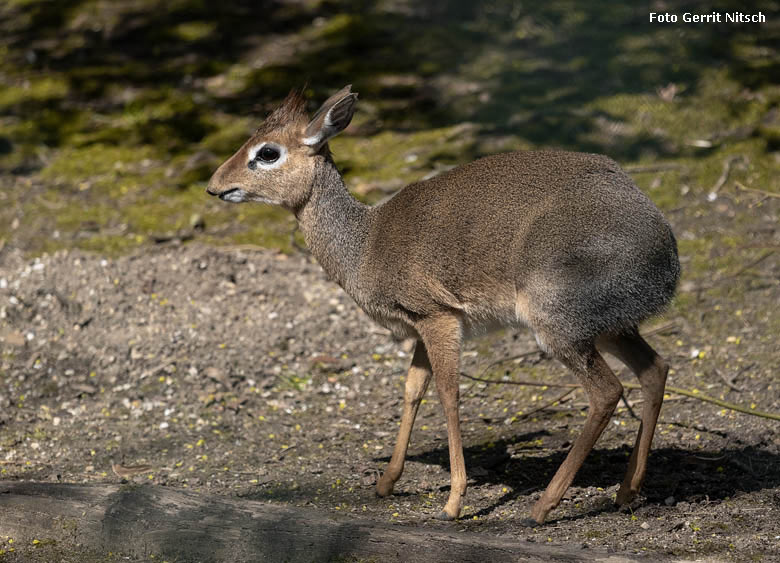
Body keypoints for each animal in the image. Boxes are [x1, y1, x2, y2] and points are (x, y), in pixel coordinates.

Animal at [206, 85, 676, 524]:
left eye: (267, 152)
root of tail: (667, 254)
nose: (214, 186)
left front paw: (453, 501)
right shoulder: (418, 324)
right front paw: (386, 483)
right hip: (609, 324)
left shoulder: (439, 316)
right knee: (654, 369)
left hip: (558, 321)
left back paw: (544, 505)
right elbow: (413, 388)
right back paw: (627, 491)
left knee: (607, 391)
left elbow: (448, 393)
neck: (363, 246)